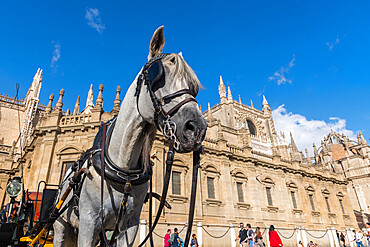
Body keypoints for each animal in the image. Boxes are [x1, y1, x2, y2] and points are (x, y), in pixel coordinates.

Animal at [52, 26, 208, 246]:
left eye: (193, 86)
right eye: (158, 76)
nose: (197, 128)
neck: (124, 171)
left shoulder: (130, 225)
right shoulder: (88, 223)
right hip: (61, 227)